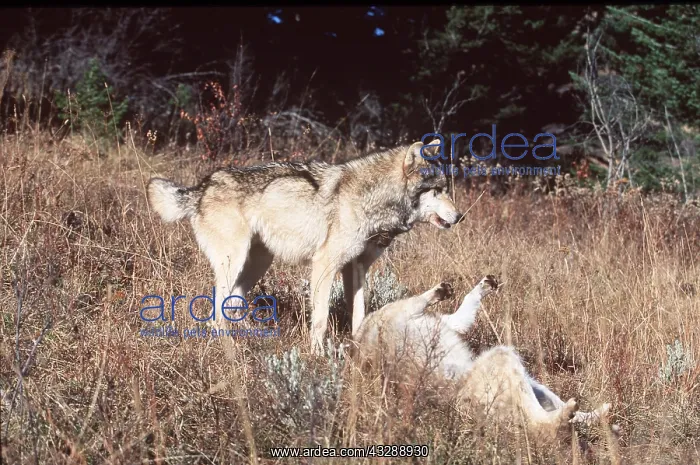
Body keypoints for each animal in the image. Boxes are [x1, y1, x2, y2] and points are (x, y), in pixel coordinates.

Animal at [146, 141, 462, 353]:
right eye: (437, 191)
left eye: (447, 189)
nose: (460, 216)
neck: (373, 200)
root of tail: (202, 187)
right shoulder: (324, 264)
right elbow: (321, 318)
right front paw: (318, 355)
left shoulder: (356, 268)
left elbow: (360, 314)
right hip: (233, 260)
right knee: (216, 314)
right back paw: (231, 350)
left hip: (257, 262)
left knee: (233, 303)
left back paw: (254, 337)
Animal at [354, 276, 614, 440]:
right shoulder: (411, 309)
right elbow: (430, 299)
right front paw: (443, 290)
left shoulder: (447, 321)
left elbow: (465, 305)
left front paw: (481, 286)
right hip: (503, 358)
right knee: (542, 425)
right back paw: (571, 415)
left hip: (528, 380)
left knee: (562, 415)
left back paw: (601, 414)